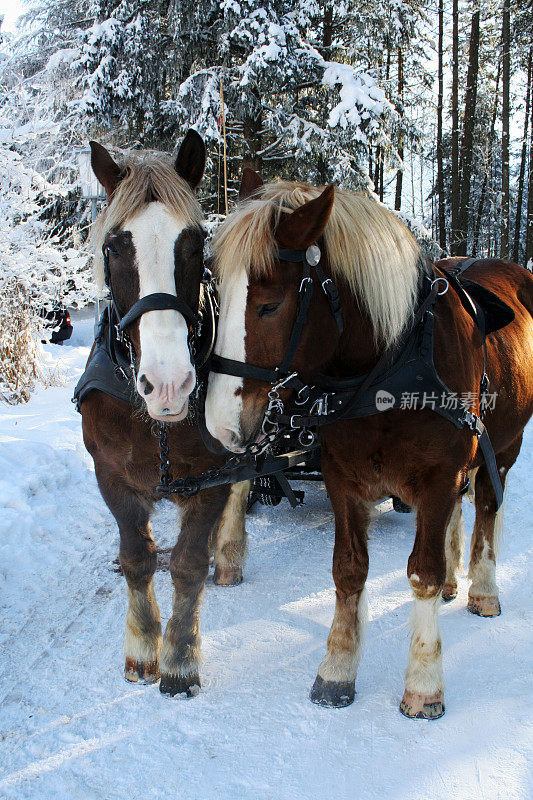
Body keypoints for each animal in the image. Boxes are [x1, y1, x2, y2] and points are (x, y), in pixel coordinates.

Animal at [204, 169, 532, 720]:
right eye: (217, 295)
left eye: (270, 304)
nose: (219, 423)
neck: (390, 365)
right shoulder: (345, 477)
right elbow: (349, 569)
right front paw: (337, 669)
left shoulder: (439, 476)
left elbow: (421, 572)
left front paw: (423, 682)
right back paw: (454, 580)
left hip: (505, 447)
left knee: (486, 505)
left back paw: (483, 590)